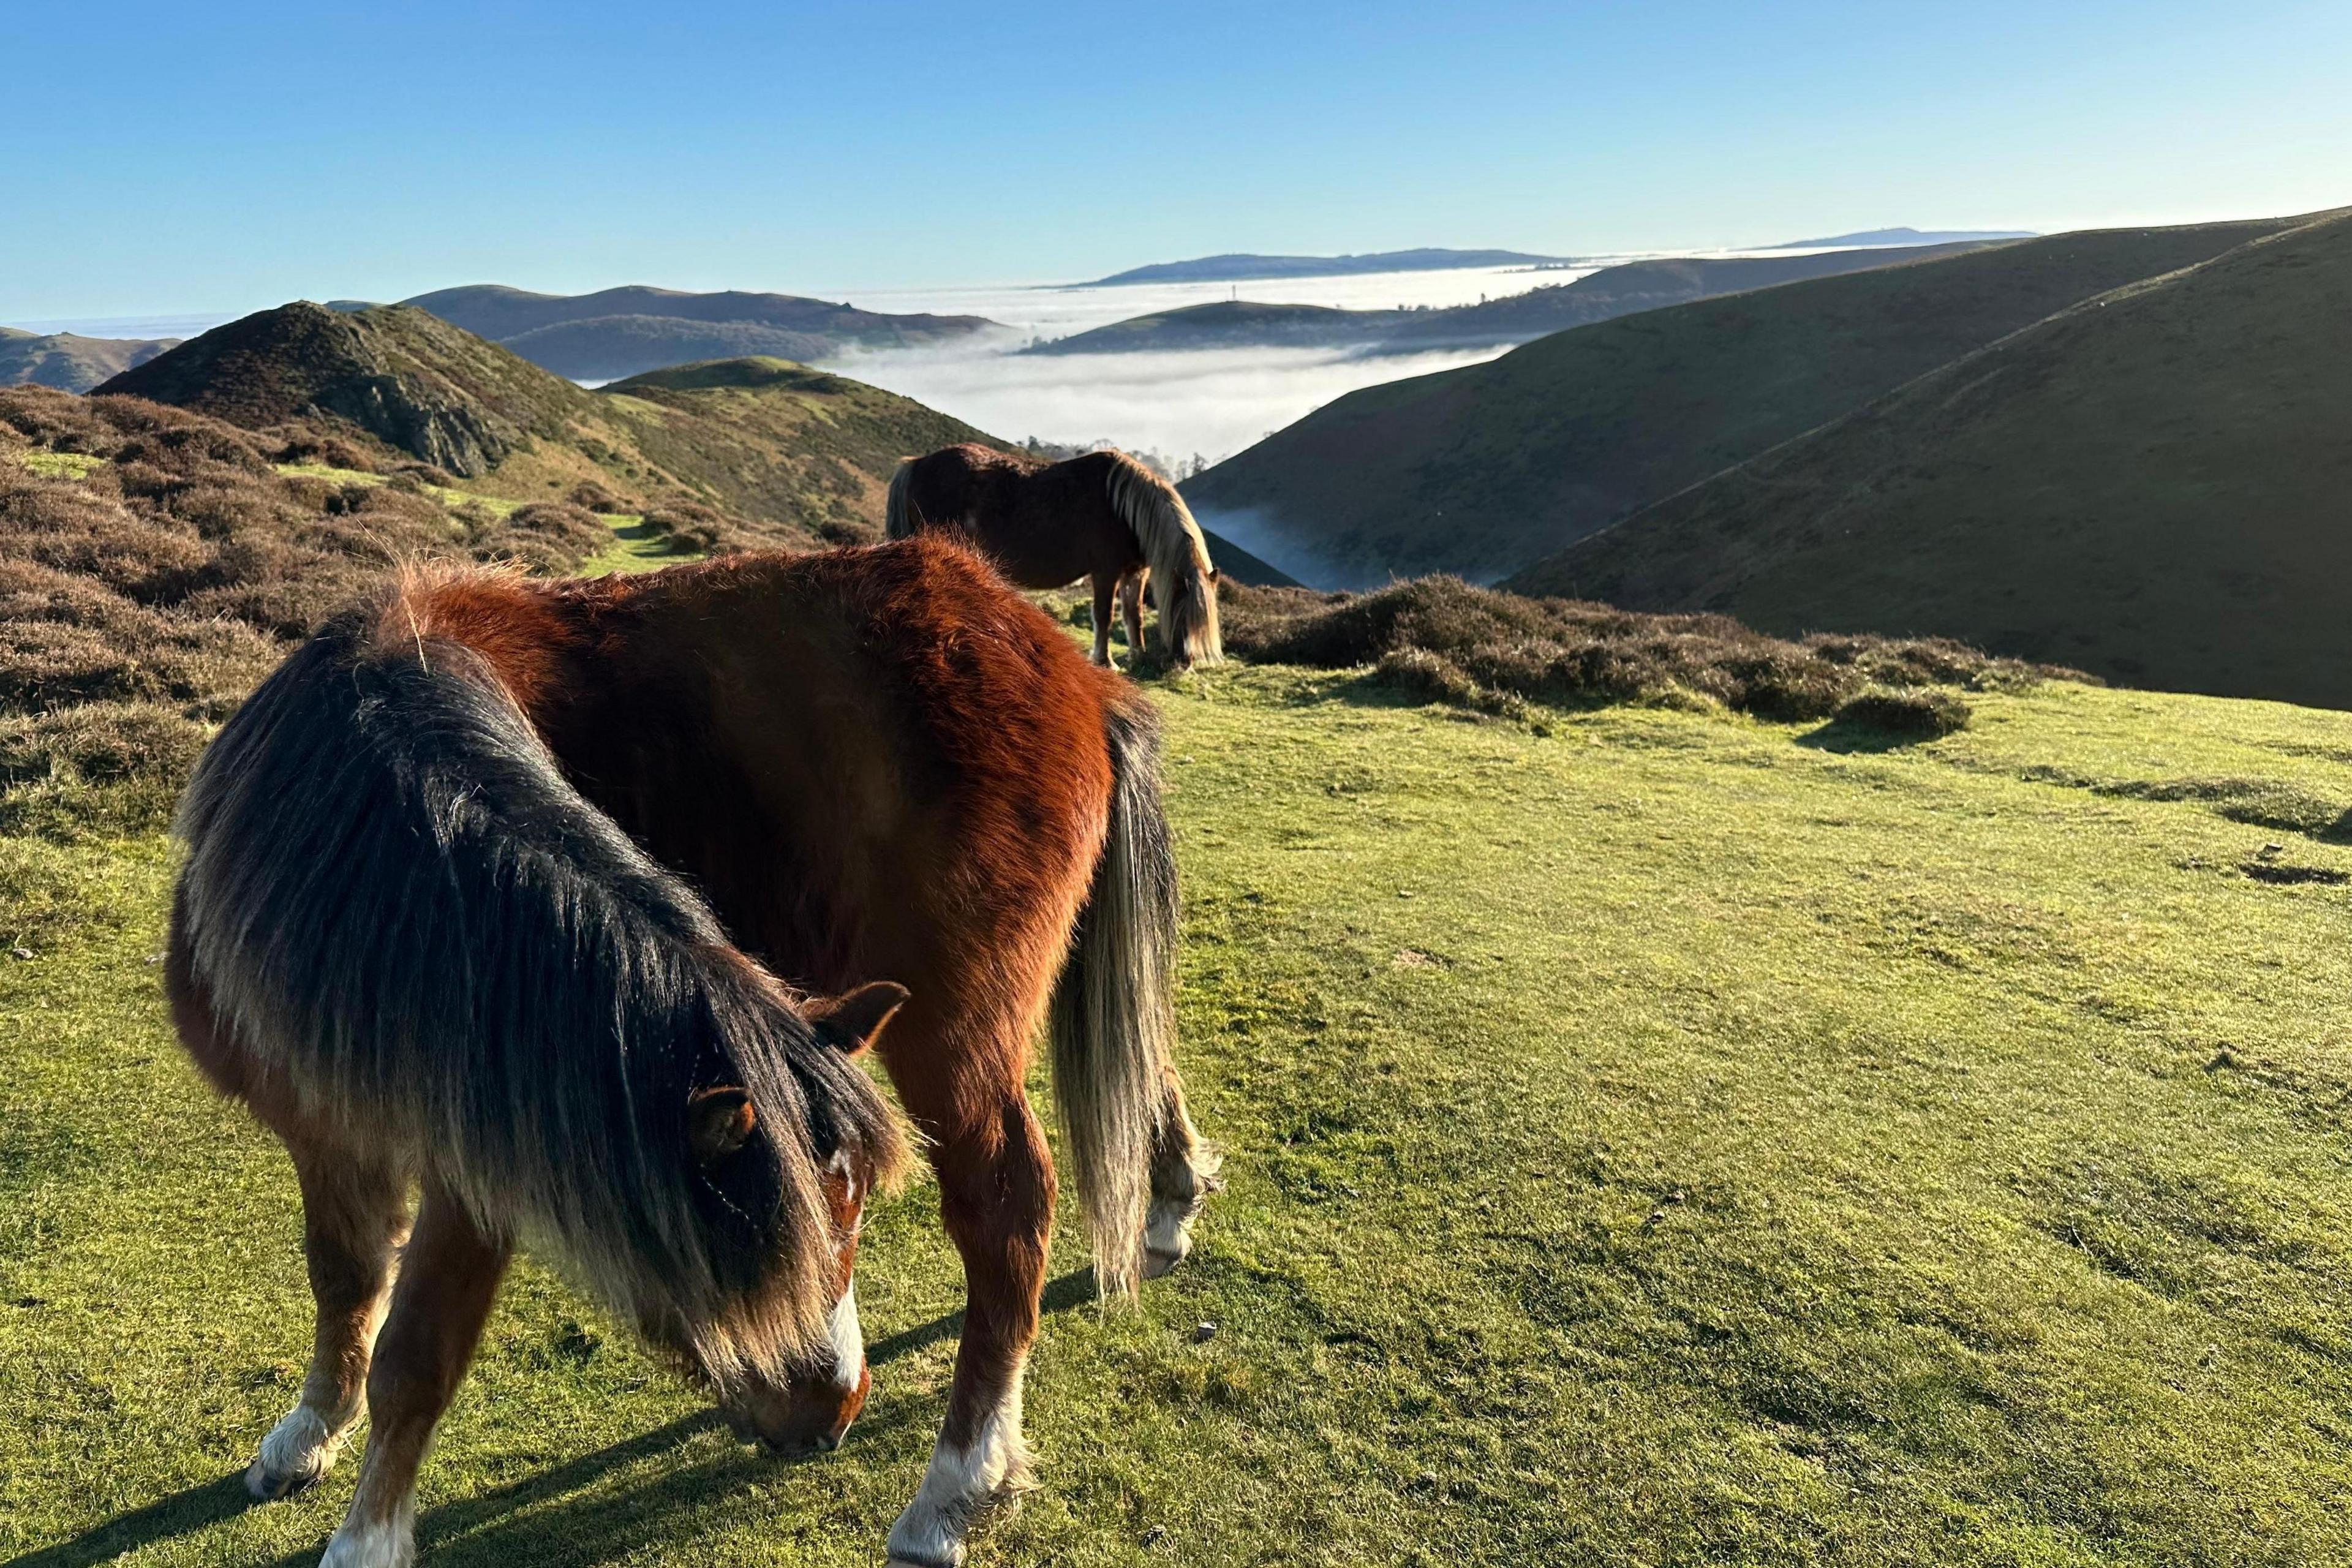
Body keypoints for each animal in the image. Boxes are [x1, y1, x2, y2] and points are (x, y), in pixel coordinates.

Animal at [165, 540, 1223, 1568]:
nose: (837, 1412)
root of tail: (1081, 680)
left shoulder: (486, 1159)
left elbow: (418, 1352)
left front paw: (366, 1536)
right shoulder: (327, 1129)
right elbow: (344, 1277)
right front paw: (311, 1428)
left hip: (957, 1030)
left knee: (1008, 1207)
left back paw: (956, 1486)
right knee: (1146, 1059)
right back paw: (1170, 1200)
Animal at [884, 442, 1232, 668]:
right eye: (1183, 612)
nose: (1185, 662)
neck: (1124, 508)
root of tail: (918, 463)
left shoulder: (1135, 572)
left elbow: (1134, 615)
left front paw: (1138, 655)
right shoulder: (1105, 571)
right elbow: (1104, 616)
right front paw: (1105, 661)